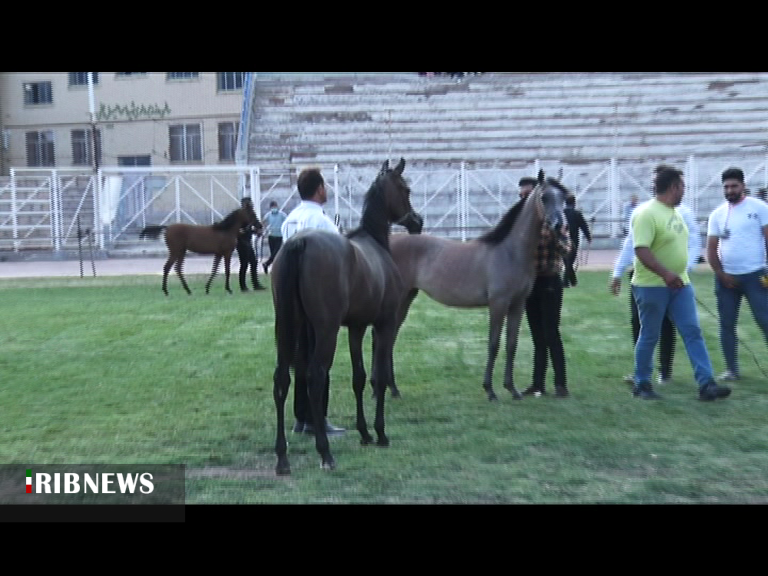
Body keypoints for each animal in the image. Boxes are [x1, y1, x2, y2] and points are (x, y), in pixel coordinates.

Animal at [272, 158, 426, 472]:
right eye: (405, 189)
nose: (417, 221)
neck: (375, 245)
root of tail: (298, 243)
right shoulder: (383, 325)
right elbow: (379, 376)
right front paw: (380, 433)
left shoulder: (356, 327)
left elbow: (359, 377)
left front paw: (364, 433)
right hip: (326, 330)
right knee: (316, 377)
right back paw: (325, 452)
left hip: (288, 328)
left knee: (283, 379)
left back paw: (282, 457)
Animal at [390, 170, 568, 400]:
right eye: (544, 197)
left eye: (563, 198)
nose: (559, 226)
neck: (510, 251)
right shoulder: (498, 304)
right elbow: (493, 344)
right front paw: (490, 391)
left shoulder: (518, 305)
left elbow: (511, 344)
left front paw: (512, 389)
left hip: (406, 298)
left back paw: (391, 389)